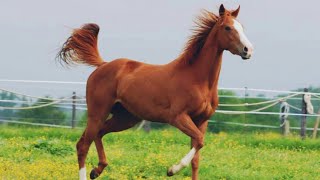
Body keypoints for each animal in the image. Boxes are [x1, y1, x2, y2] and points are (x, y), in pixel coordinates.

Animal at [57, 4, 252, 180]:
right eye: (227, 27)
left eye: (241, 27)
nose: (248, 50)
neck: (197, 79)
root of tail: (103, 65)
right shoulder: (178, 117)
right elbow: (199, 142)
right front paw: (172, 170)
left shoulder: (201, 121)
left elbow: (196, 156)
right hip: (98, 113)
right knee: (83, 145)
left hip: (125, 118)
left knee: (98, 134)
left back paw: (97, 171)